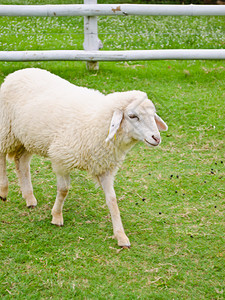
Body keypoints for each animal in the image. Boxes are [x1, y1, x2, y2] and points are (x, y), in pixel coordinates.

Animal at [0, 68, 167, 248]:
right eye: (132, 116)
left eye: (153, 115)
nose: (156, 138)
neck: (97, 123)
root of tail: (18, 72)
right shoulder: (61, 159)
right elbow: (63, 190)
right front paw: (56, 216)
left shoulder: (104, 166)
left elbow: (112, 200)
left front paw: (121, 236)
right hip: (5, 128)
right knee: (2, 157)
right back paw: (3, 191)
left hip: (26, 138)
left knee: (22, 163)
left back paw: (29, 197)